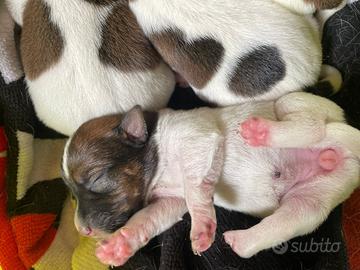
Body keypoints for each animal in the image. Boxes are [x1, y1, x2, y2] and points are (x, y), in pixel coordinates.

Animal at [62, 92, 360, 266]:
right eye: (72, 194)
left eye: (97, 178)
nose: (81, 230)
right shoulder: (170, 201)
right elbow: (145, 218)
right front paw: (118, 246)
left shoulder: (196, 139)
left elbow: (195, 191)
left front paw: (202, 227)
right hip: (312, 200)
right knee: (290, 219)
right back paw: (241, 241)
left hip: (301, 104)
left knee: (310, 126)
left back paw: (262, 132)